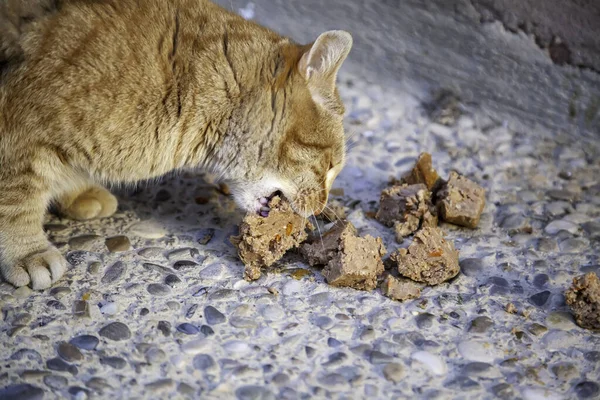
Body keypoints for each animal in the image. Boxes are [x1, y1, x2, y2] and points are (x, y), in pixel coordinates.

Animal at [0, 0, 352, 288]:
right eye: (330, 165)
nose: (321, 207)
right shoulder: (18, 130)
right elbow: (16, 199)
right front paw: (28, 252)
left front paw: (75, 190)